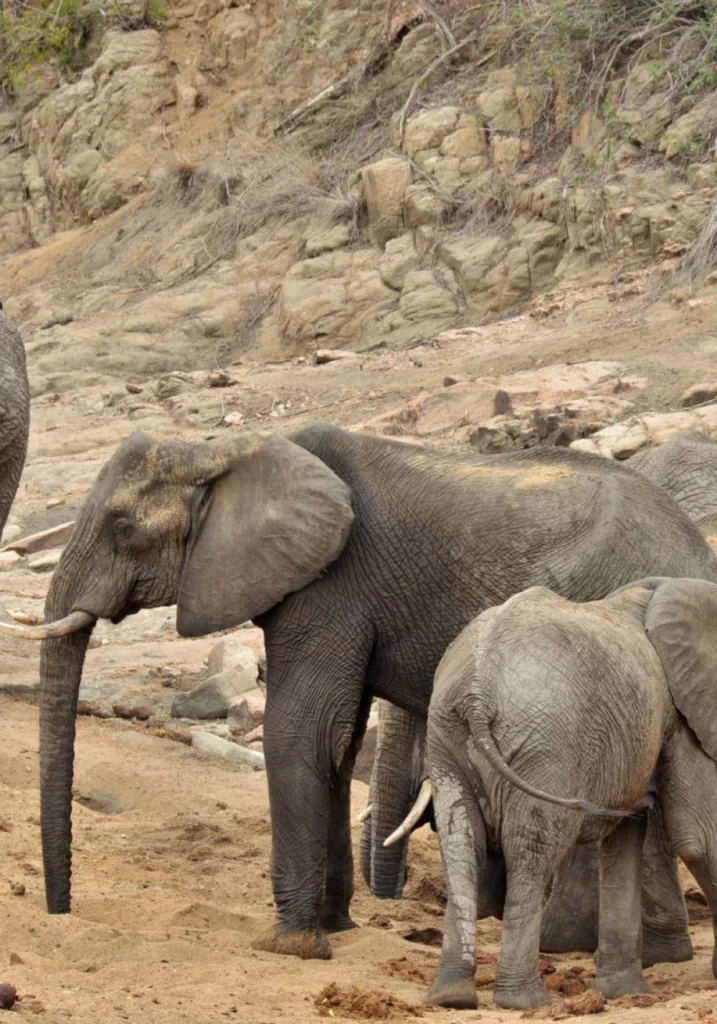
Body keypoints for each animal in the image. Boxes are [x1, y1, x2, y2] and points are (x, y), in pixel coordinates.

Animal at [4, 425, 717, 961]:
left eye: (125, 528)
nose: (63, 912)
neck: (228, 450)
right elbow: (337, 744)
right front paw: (335, 930)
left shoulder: (329, 587)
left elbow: (303, 731)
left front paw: (291, 946)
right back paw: (650, 957)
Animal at [421, 578, 717, 1011]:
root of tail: (477, 689)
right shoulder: (678, 710)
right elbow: (698, 836)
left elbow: (627, 835)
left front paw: (623, 992)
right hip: (548, 745)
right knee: (532, 849)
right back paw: (525, 1002)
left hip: (446, 735)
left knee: (462, 843)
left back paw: (451, 997)